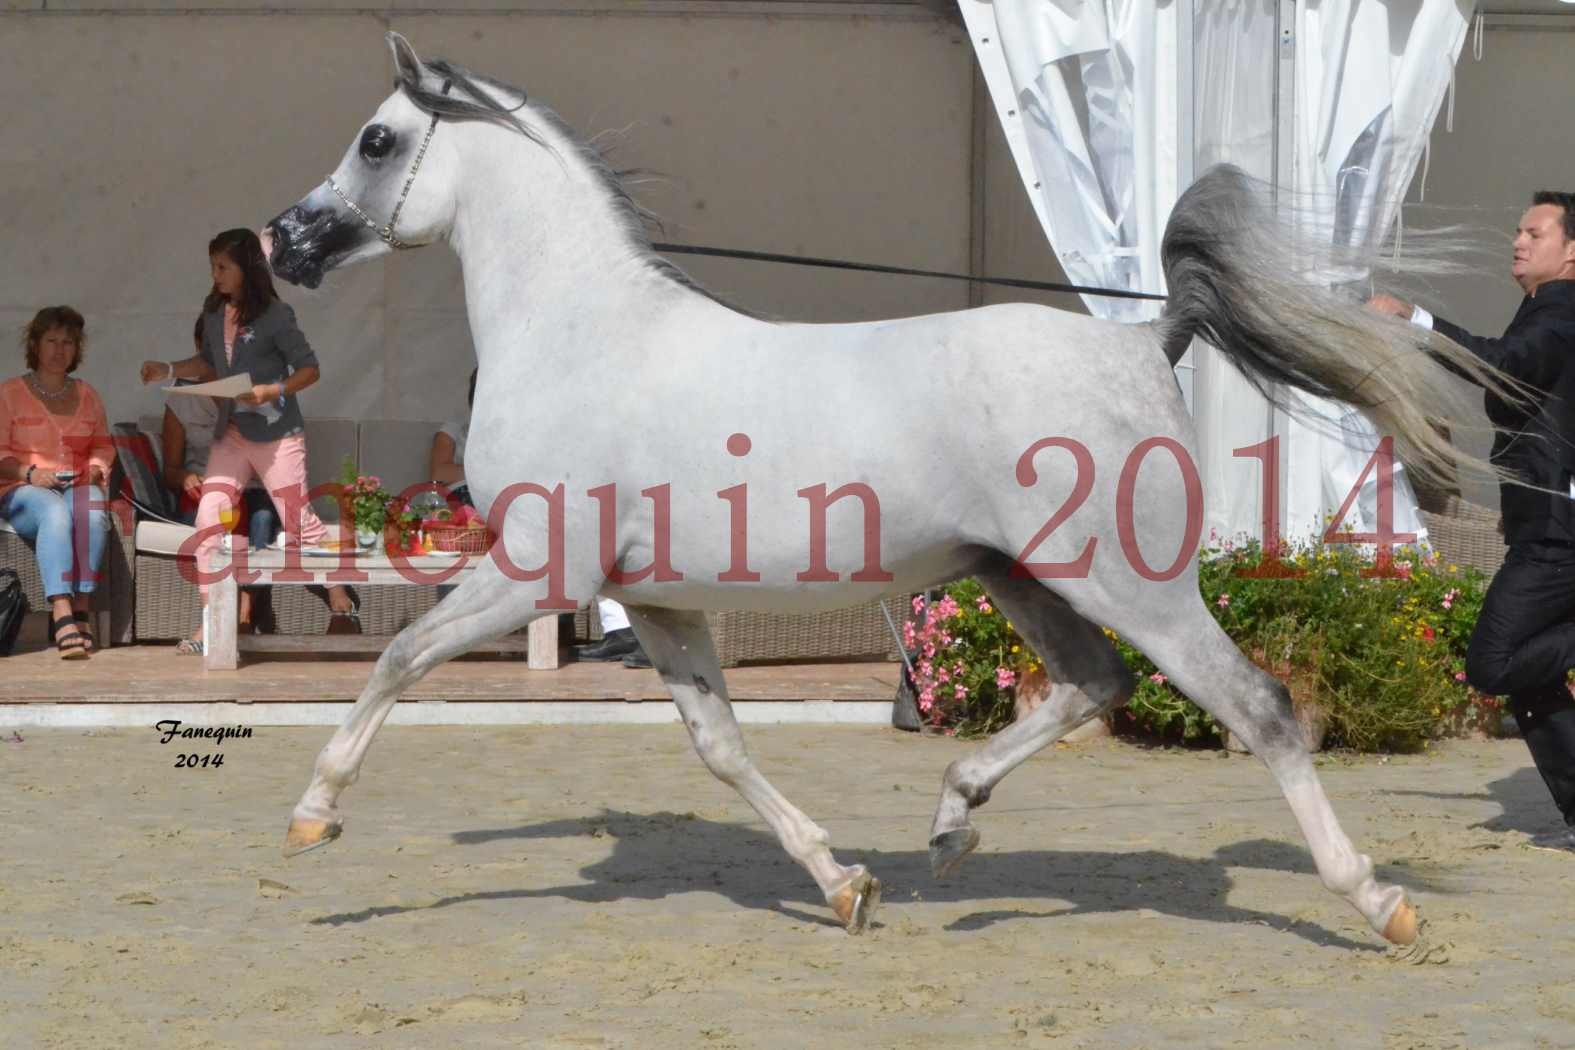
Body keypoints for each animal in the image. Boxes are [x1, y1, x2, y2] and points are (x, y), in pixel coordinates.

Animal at [264, 36, 1505, 950]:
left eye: (378, 139)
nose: (285, 239)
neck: (582, 333)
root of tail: (1143, 341)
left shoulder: (534, 571)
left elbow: (397, 658)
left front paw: (314, 817)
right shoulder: (655, 601)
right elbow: (722, 748)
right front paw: (844, 883)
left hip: (1134, 587)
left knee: (1259, 708)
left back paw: (1380, 904)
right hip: (1021, 579)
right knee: (1092, 685)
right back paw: (952, 824)